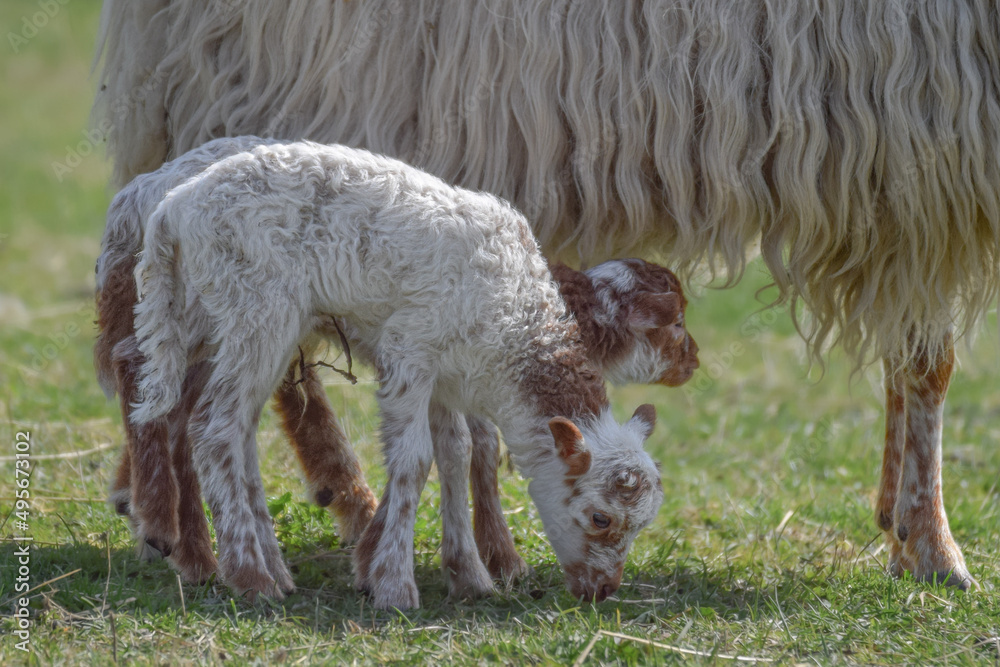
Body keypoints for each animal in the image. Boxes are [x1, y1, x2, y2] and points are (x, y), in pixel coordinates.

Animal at [95, 140, 698, 588]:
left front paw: (465, 572)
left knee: (198, 411)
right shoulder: (411, 350)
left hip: (206, 318)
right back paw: (238, 571)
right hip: (254, 314)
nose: (603, 591)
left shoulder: (451, 375)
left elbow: (457, 452)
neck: (523, 322)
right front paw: (395, 581)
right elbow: (422, 457)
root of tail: (167, 206)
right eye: (601, 518)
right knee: (209, 423)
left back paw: (241, 558)